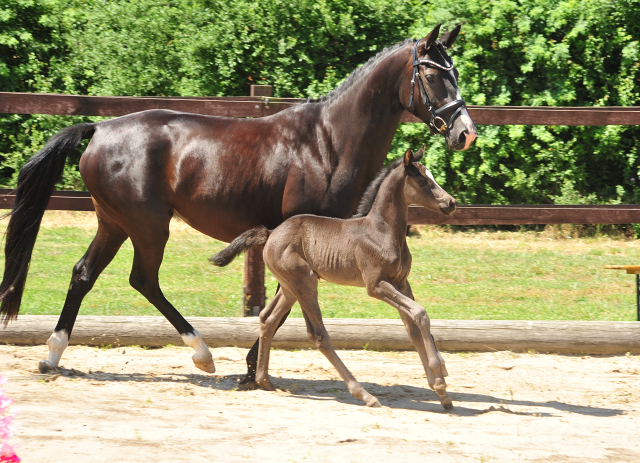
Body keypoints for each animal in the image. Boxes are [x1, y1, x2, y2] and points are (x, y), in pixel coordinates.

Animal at [212, 147, 458, 412]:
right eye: (423, 181)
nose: (451, 203)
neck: (381, 231)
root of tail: (269, 233)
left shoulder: (402, 282)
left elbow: (413, 327)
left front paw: (441, 390)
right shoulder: (377, 285)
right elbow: (420, 313)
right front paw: (440, 377)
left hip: (289, 287)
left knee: (268, 318)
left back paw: (264, 380)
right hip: (305, 282)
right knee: (318, 335)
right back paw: (364, 395)